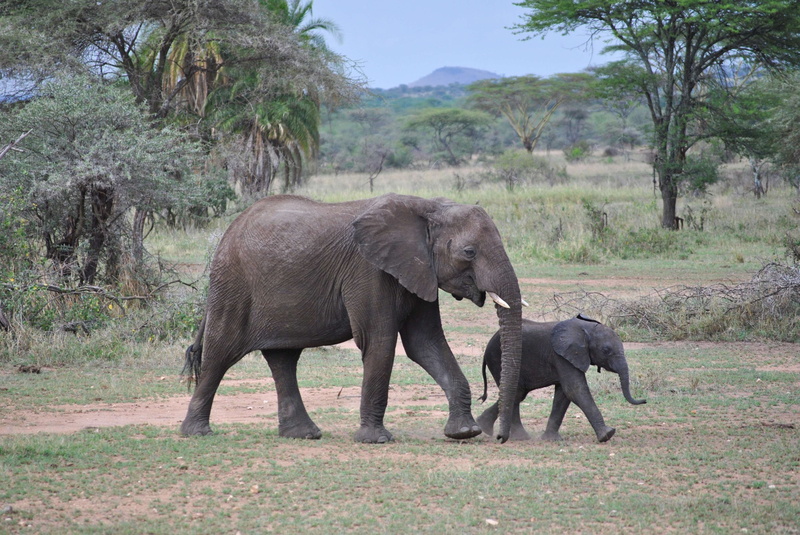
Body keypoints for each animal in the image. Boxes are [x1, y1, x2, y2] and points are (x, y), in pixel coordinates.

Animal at [181, 193, 523, 443]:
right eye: (469, 252)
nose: (500, 438)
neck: (427, 207)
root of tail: (230, 230)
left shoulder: (419, 270)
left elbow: (425, 343)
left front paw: (464, 433)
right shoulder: (369, 271)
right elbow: (379, 342)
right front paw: (376, 440)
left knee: (283, 359)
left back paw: (303, 435)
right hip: (233, 282)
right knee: (220, 352)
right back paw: (196, 433)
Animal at [477, 314, 646, 442]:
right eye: (606, 350)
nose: (644, 400)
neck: (585, 328)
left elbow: (563, 394)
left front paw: (551, 439)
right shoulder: (561, 355)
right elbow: (575, 389)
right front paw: (607, 434)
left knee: (517, 394)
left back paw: (498, 431)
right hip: (497, 358)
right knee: (516, 393)